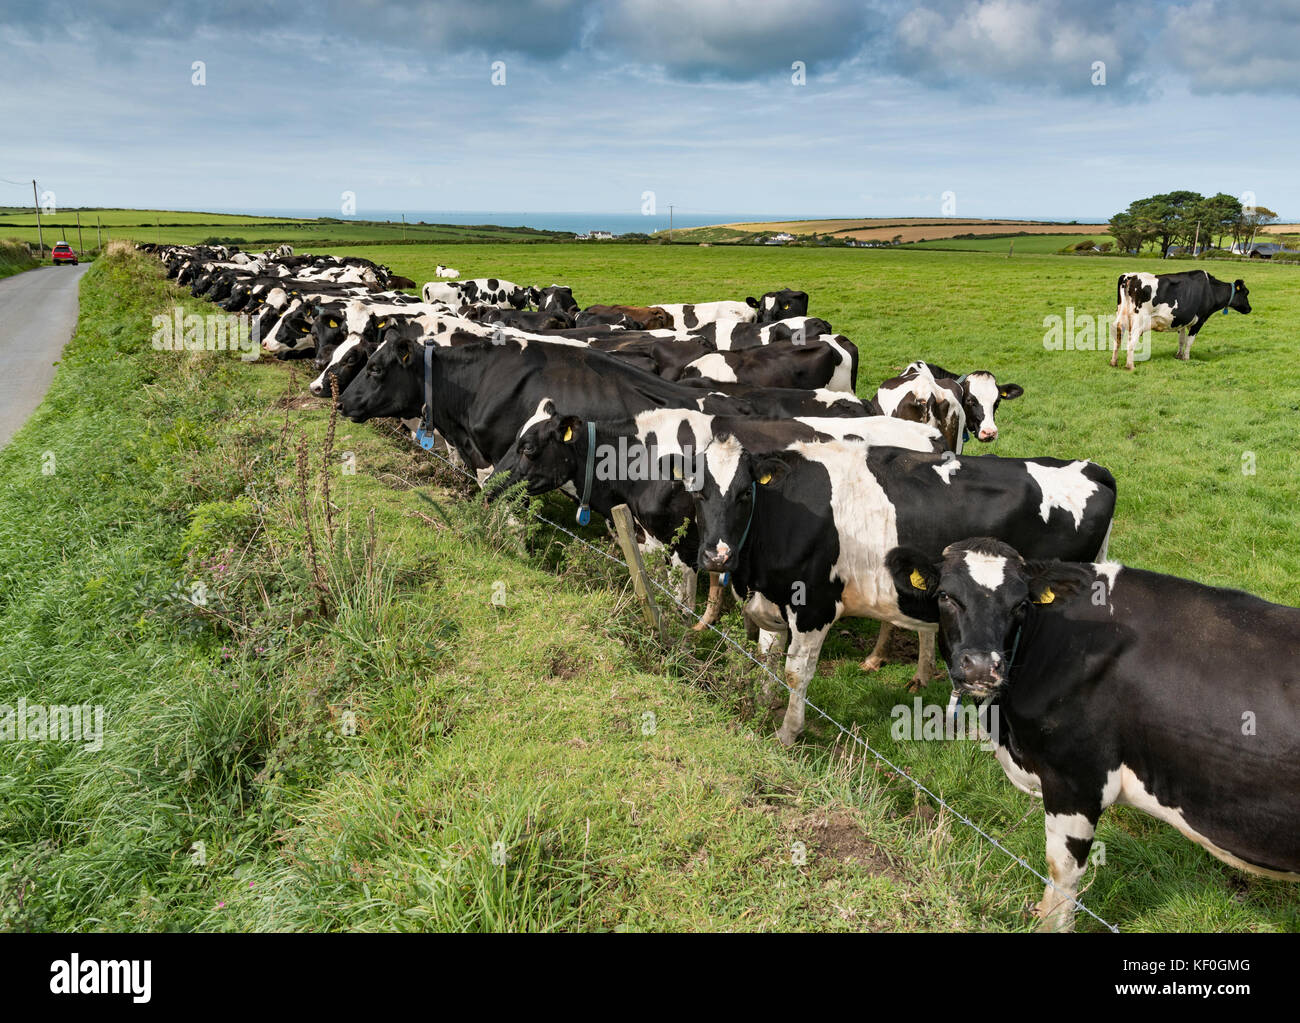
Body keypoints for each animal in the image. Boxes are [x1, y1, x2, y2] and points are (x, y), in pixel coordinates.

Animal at [691, 439, 1118, 743]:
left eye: (745, 493)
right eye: (696, 492)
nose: (716, 555)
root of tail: (1089, 467)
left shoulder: (814, 607)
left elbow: (796, 674)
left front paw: (787, 733)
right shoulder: (773, 602)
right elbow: (766, 658)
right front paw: (762, 707)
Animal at [1107, 270, 1248, 369]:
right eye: (1246, 293)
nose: (1249, 308)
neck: (1211, 290)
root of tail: (1130, 276)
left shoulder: (1182, 320)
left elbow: (1181, 339)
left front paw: (1178, 355)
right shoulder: (1199, 320)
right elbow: (1189, 341)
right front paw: (1186, 357)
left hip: (1121, 316)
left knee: (1117, 337)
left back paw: (1113, 362)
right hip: (1138, 321)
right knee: (1131, 342)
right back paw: (1130, 365)